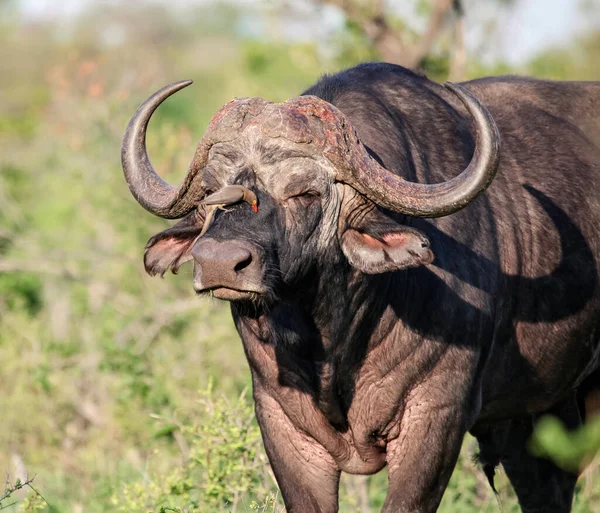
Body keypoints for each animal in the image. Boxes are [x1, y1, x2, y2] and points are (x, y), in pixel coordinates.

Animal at [120, 64, 600, 512]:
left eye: (304, 192)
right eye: (210, 192)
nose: (219, 262)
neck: (336, 342)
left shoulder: (437, 417)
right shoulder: (282, 422)